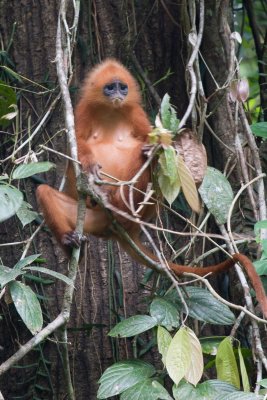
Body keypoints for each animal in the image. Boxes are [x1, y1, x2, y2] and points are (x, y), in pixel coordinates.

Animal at [37, 57, 267, 318]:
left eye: (122, 87)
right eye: (110, 88)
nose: (118, 94)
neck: (111, 112)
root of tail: (120, 230)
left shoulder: (136, 113)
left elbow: (158, 145)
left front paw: (154, 150)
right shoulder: (82, 111)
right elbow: (73, 152)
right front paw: (89, 169)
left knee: (143, 158)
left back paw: (120, 202)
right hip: (92, 220)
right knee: (43, 192)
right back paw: (72, 240)